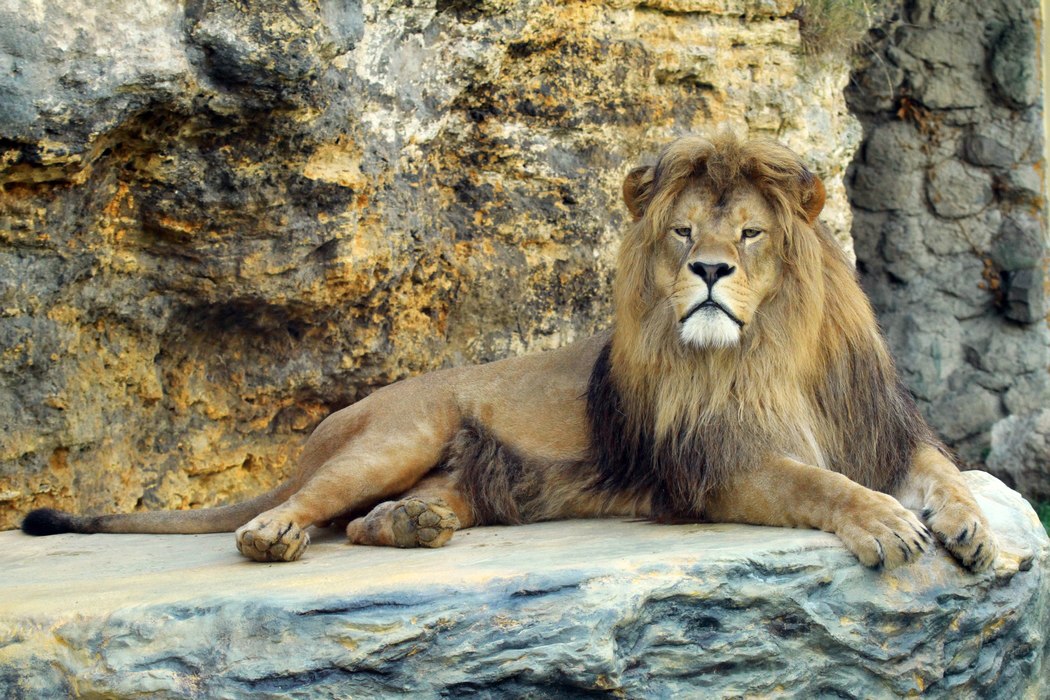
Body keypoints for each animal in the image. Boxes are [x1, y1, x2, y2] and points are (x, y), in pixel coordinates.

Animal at [22, 132, 997, 572]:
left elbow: (944, 473)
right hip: (400, 432)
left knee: (373, 519)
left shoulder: (881, 430)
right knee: (308, 507)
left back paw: (409, 525)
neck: (767, 352)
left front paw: (971, 527)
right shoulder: (714, 464)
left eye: (750, 234)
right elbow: (817, 484)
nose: (710, 271)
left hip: (477, 474)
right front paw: (884, 523)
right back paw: (276, 533)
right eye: (684, 232)